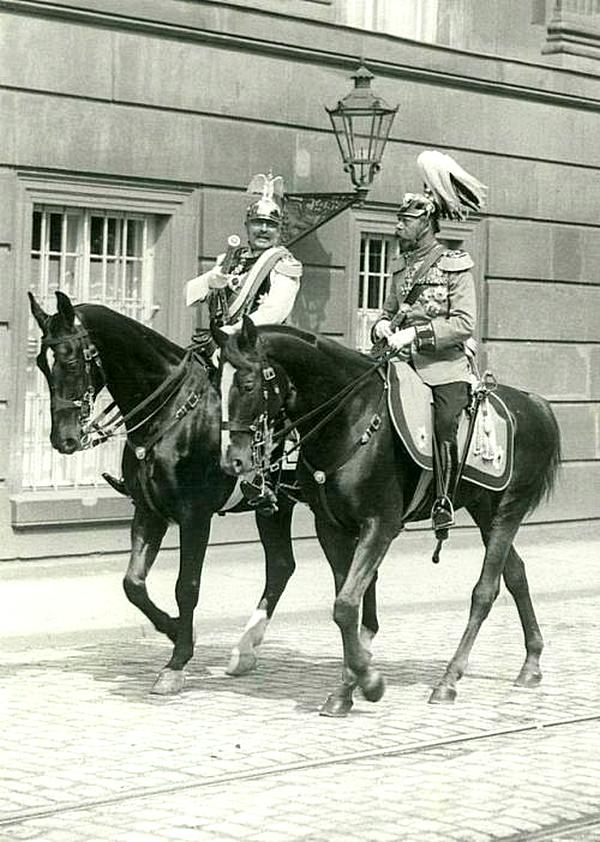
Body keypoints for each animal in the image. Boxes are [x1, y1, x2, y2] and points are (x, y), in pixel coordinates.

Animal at [217, 318, 564, 712]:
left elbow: (346, 605)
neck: (351, 418)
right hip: (484, 511)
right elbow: (346, 606)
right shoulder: (331, 528)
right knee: (516, 574)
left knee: (485, 592)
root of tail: (534, 404)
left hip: (508, 510)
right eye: (217, 383)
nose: (233, 460)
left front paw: (368, 682)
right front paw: (347, 687)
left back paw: (448, 680)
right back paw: (531, 662)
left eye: (247, 384)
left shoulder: (380, 525)